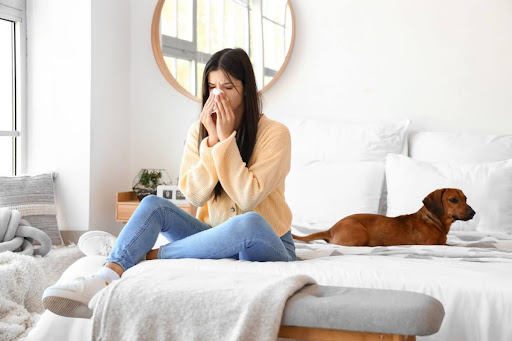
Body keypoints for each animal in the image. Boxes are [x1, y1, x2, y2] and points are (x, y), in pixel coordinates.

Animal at [292, 187, 476, 246]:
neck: (434, 222)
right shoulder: (433, 244)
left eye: (466, 198)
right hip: (360, 234)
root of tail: (331, 229)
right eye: (453, 200)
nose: (473, 213)